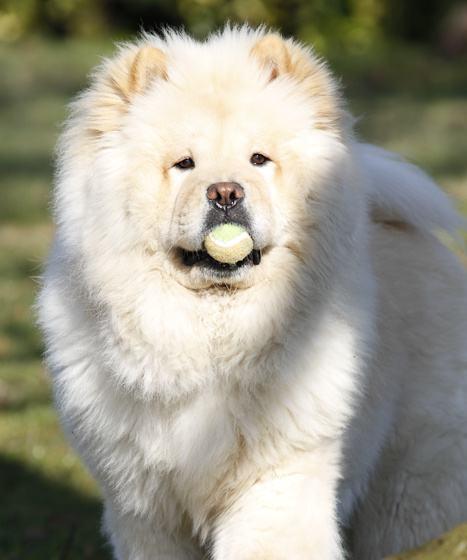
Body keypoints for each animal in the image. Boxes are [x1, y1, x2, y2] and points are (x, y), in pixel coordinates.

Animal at [39, 26, 467, 560]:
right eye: (184, 164)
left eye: (259, 160)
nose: (226, 193)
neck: (213, 338)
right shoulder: (145, 504)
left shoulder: (275, 478)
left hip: (411, 483)